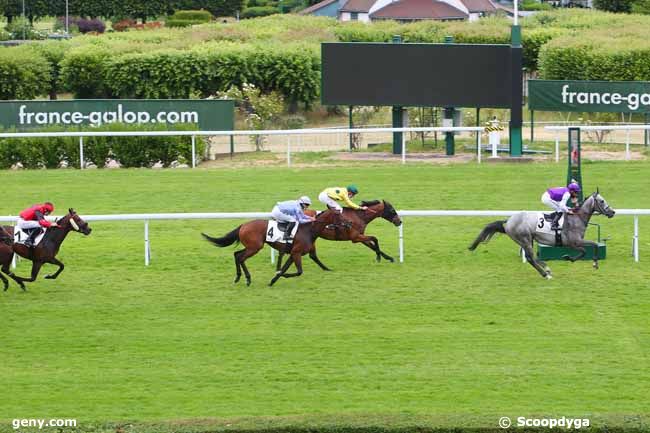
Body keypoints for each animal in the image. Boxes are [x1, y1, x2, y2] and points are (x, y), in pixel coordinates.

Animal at [200, 210, 336, 286]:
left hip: (251, 247)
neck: (308, 230)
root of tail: (243, 225)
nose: (345, 224)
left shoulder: (295, 253)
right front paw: (280, 275)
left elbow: (289, 267)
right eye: (339, 214)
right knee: (240, 257)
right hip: (254, 247)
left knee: (236, 254)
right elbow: (298, 271)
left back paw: (239, 277)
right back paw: (247, 279)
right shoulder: (296, 252)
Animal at [468, 191, 616, 278]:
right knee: (530, 257)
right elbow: (589, 248)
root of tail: (508, 221)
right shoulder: (573, 242)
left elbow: (589, 248)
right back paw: (546, 272)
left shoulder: (575, 243)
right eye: (602, 201)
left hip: (527, 240)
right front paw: (588, 262)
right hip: (525, 239)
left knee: (531, 258)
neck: (577, 218)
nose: (612, 212)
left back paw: (545, 271)